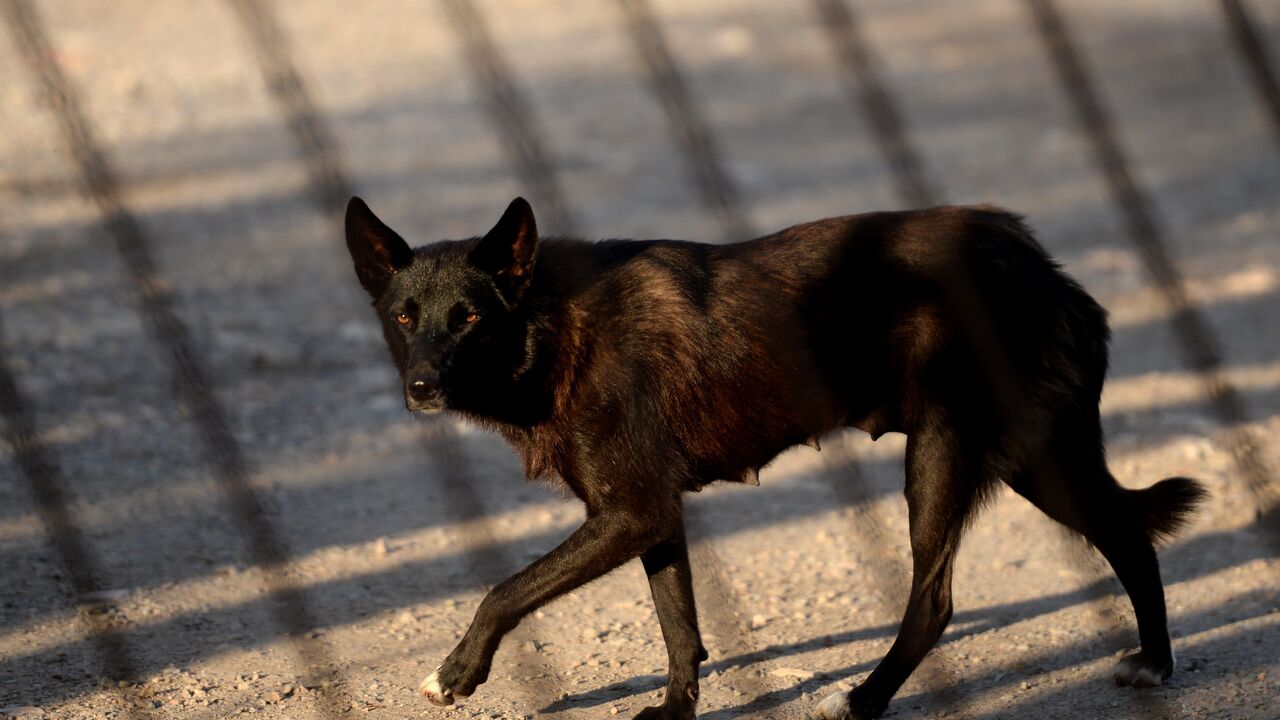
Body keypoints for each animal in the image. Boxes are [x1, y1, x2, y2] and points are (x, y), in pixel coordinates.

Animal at [345, 196, 1203, 717]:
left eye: (468, 317)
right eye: (405, 317)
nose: (420, 387)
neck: (554, 326)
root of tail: (1039, 261)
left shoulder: (630, 511)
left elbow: (504, 590)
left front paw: (456, 673)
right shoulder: (649, 516)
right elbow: (679, 625)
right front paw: (675, 709)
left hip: (944, 455)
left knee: (934, 601)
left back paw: (863, 700)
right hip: (1037, 459)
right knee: (1129, 537)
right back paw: (1155, 664)